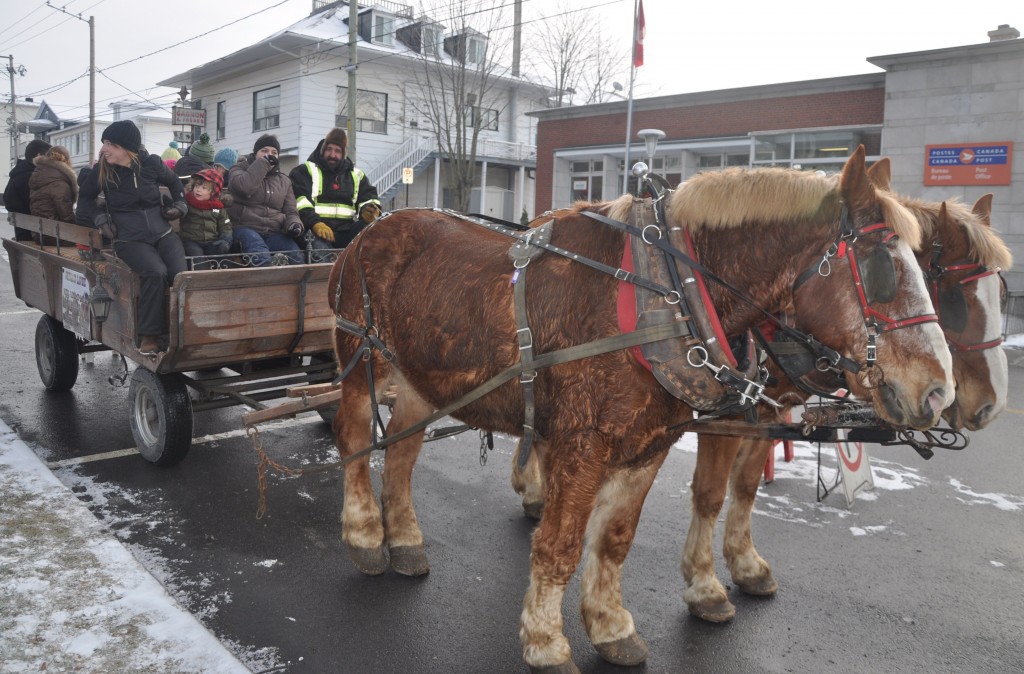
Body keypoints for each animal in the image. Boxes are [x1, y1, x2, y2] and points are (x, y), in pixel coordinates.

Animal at [327, 148, 950, 671]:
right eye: (880, 267)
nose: (939, 391)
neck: (669, 294)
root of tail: (373, 226)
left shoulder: (648, 444)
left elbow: (615, 538)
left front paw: (610, 626)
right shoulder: (582, 443)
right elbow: (560, 545)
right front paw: (546, 642)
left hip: (421, 379)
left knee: (402, 452)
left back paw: (405, 539)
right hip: (361, 362)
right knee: (355, 442)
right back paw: (365, 535)